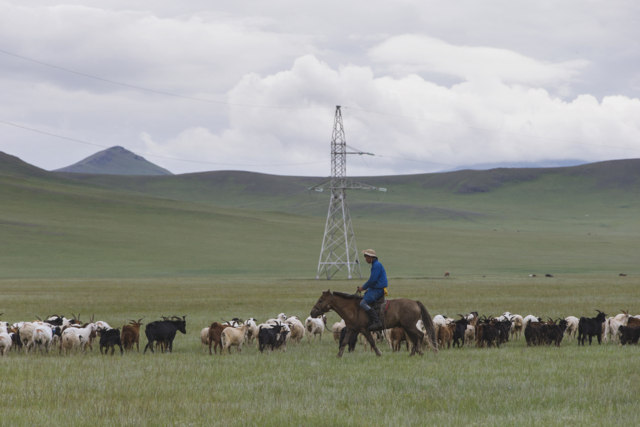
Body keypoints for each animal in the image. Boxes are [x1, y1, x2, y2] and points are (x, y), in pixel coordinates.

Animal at [310, 290, 438, 357]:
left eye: (320, 300)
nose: (312, 312)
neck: (353, 309)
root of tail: (415, 303)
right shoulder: (352, 330)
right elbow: (344, 342)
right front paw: (338, 356)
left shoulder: (364, 330)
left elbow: (371, 341)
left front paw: (379, 353)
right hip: (407, 327)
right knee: (415, 338)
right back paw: (413, 353)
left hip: (409, 326)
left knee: (419, 336)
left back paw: (419, 352)